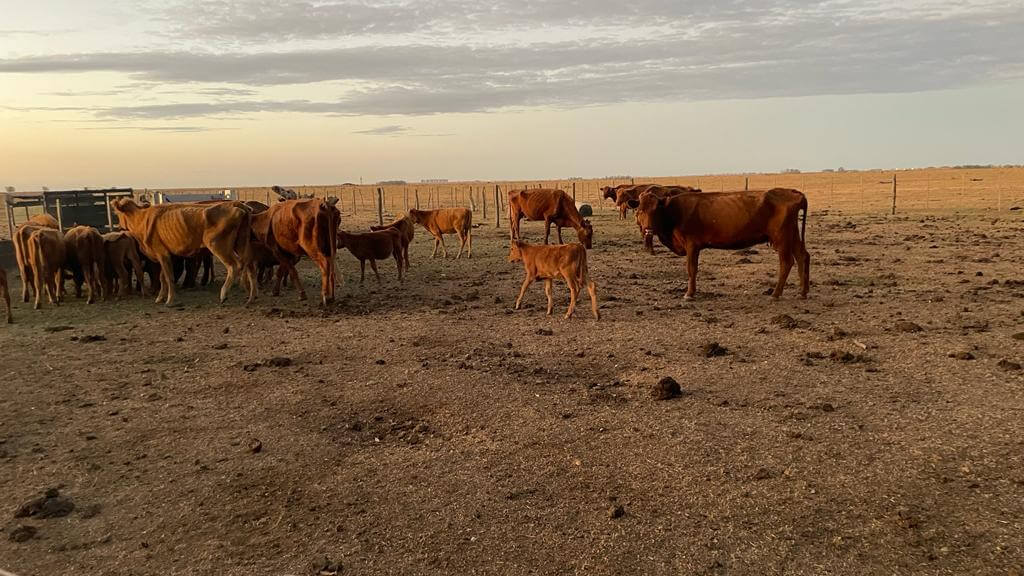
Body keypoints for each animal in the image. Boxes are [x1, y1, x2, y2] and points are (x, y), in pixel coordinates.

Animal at [110, 196, 256, 305]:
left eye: (117, 214)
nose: (118, 227)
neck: (142, 218)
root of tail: (235, 203)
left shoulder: (162, 253)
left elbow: (168, 277)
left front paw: (169, 300)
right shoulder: (165, 255)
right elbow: (162, 277)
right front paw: (160, 297)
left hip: (218, 245)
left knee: (234, 265)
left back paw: (224, 294)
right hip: (241, 243)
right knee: (249, 266)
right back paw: (251, 295)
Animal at [626, 187, 811, 301]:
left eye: (655, 210)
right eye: (640, 210)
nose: (648, 229)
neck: (674, 211)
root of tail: (793, 192)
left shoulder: (692, 245)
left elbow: (691, 269)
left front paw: (689, 294)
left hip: (782, 238)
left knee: (787, 262)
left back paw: (776, 293)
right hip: (792, 235)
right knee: (802, 256)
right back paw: (803, 291)